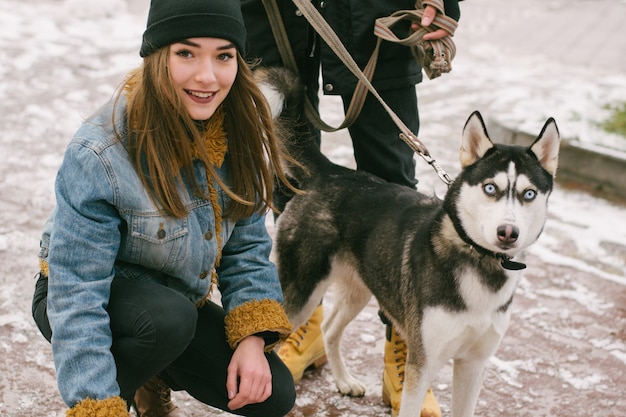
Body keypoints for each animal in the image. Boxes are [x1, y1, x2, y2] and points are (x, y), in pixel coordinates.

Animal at [256, 66, 560, 414]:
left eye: (529, 194)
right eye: (490, 188)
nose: (507, 232)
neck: (478, 260)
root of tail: (330, 171)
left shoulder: (472, 364)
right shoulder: (423, 363)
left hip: (361, 287)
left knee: (329, 328)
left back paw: (344, 381)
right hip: (302, 293)